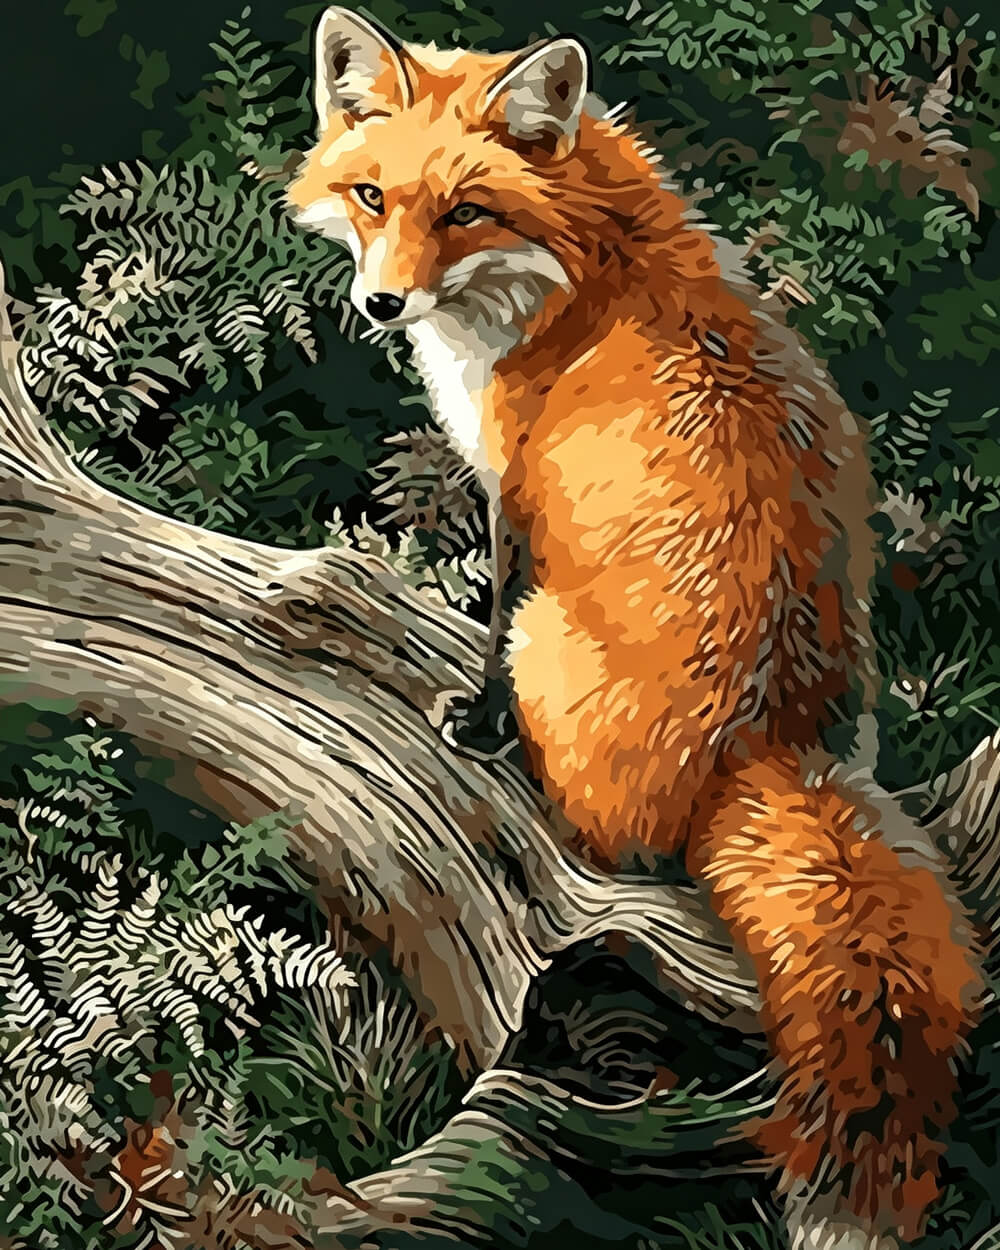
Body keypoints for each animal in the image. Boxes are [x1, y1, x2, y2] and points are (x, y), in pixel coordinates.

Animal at [287, 9, 983, 1249]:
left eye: (464, 211)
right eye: (372, 196)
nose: (381, 307)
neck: (581, 256)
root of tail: (770, 746)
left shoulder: (514, 491)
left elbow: (488, 615)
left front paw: (473, 719)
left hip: (552, 644)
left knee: (602, 835)